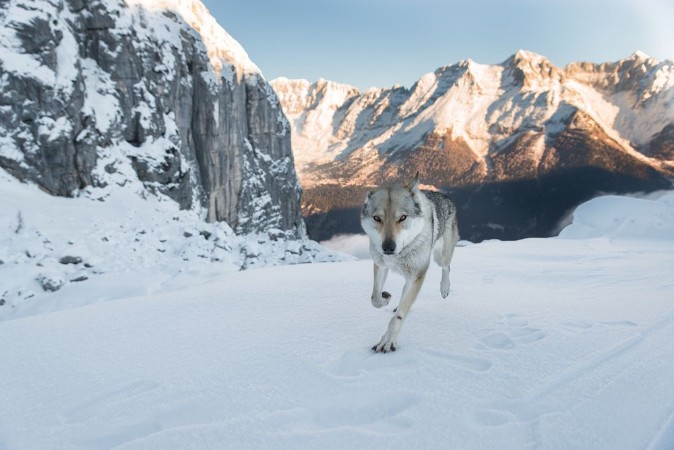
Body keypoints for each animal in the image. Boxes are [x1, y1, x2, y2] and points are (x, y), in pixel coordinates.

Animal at [360, 173, 459, 353]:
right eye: (377, 218)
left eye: (402, 217)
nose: (388, 247)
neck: (398, 255)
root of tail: (445, 196)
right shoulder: (380, 265)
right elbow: (375, 298)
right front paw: (385, 297)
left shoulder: (417, 275)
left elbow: (398, 316)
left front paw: (388, 341)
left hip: (441, 256)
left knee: (446, 267)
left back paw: (444, 289)